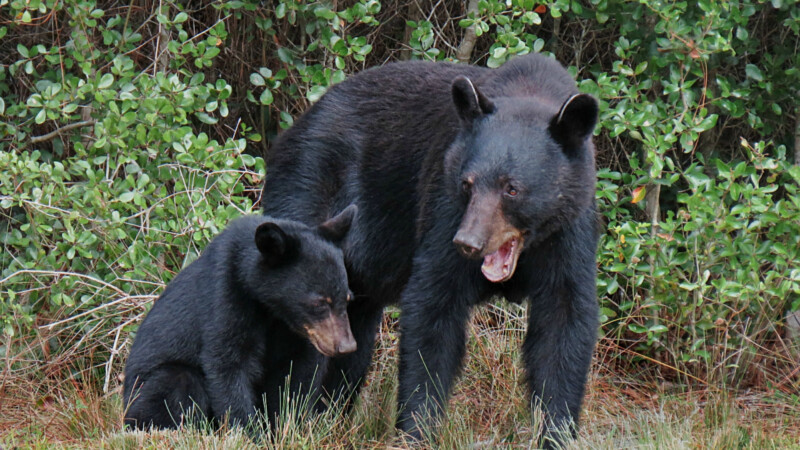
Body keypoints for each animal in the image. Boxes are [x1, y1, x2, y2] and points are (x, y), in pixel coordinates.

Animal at [122, 206, 360, 430]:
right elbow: (228, 363)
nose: (346, 346)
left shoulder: (300, 333)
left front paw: (289, 426)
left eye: (348, 298)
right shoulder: (226, 295)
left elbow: (297, 377)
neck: (272, 310)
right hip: (144, 392)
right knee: (178, 382)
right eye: (319, 303)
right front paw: (250, 432)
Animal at [260, 52, 596, 446]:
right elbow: (433, 306)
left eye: (512, 188)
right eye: (468, 184)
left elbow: (564, 323)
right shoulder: (444, 206)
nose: (468, 243)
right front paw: (416, 431)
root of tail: (291, 130)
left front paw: (556, 432)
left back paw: (325, 417)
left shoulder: (569, 233)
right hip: (308, 191)